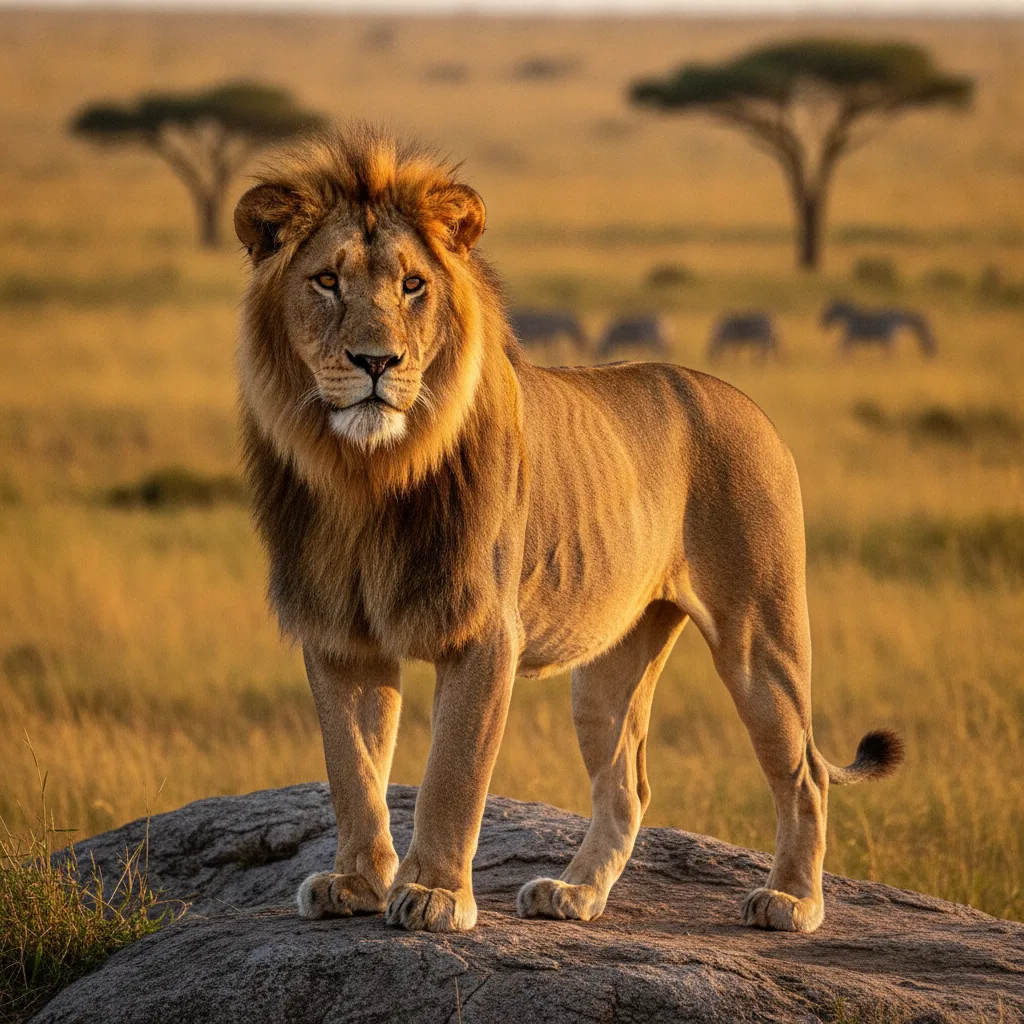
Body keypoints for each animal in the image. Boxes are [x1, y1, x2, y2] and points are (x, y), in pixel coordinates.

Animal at [233, 127, 903, 935]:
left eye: (413, 286)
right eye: (327, 281)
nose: (375, 362)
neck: (367, 473)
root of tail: (747, 403)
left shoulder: (486, 633)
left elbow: (451, 775)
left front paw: (433, 896)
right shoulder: (339, 635)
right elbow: (353, 770)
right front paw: (356, 884)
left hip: (759, 633)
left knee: (803, 770)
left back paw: (792, 901)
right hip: (610, 667)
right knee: (627, 785)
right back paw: (574, 895)